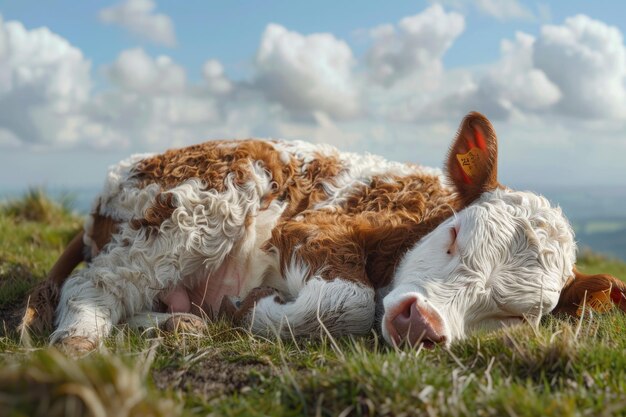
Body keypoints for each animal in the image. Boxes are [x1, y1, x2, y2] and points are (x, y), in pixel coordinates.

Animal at [20, 111, 624, 352]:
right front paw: (251, 310)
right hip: (202, 205)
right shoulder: (313, 228)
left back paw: (178, 323)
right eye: (454, 236)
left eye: (516, 315)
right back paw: (79, 342)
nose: (421, 322)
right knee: (93, 284)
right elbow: (347, 302)